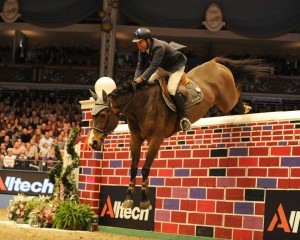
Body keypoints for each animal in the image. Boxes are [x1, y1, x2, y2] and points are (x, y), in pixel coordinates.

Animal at [88, 57, 270, 209]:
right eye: (92, 115)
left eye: (103, 115)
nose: (93, 142)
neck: (140, 106)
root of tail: (213, 62)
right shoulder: (135, 139)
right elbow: (133, 167)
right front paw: (128, 199)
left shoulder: (156, 139)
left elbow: (145, 168)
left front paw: (145, 201)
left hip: (226, 99)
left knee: (237, 92)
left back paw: (245, 107)